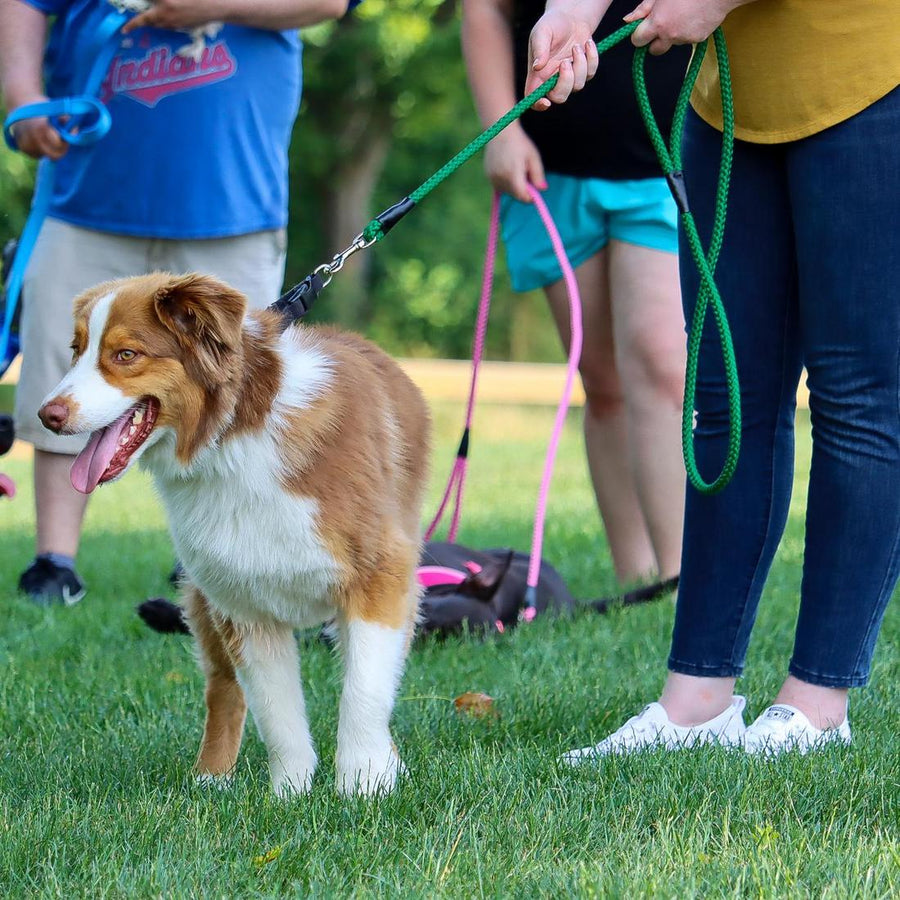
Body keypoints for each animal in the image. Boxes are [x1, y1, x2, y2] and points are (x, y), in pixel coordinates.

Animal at [41, 272, 432, 796]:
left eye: (126, 355)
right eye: (76, 349)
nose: (48, 415)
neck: (233, 436)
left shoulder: (380, 574)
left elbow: (365, 690)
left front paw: (364, 786)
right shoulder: (240, 597)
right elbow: (277, 710)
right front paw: (289, 795)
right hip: (201, 596)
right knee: (222, 689)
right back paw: (210, 778)